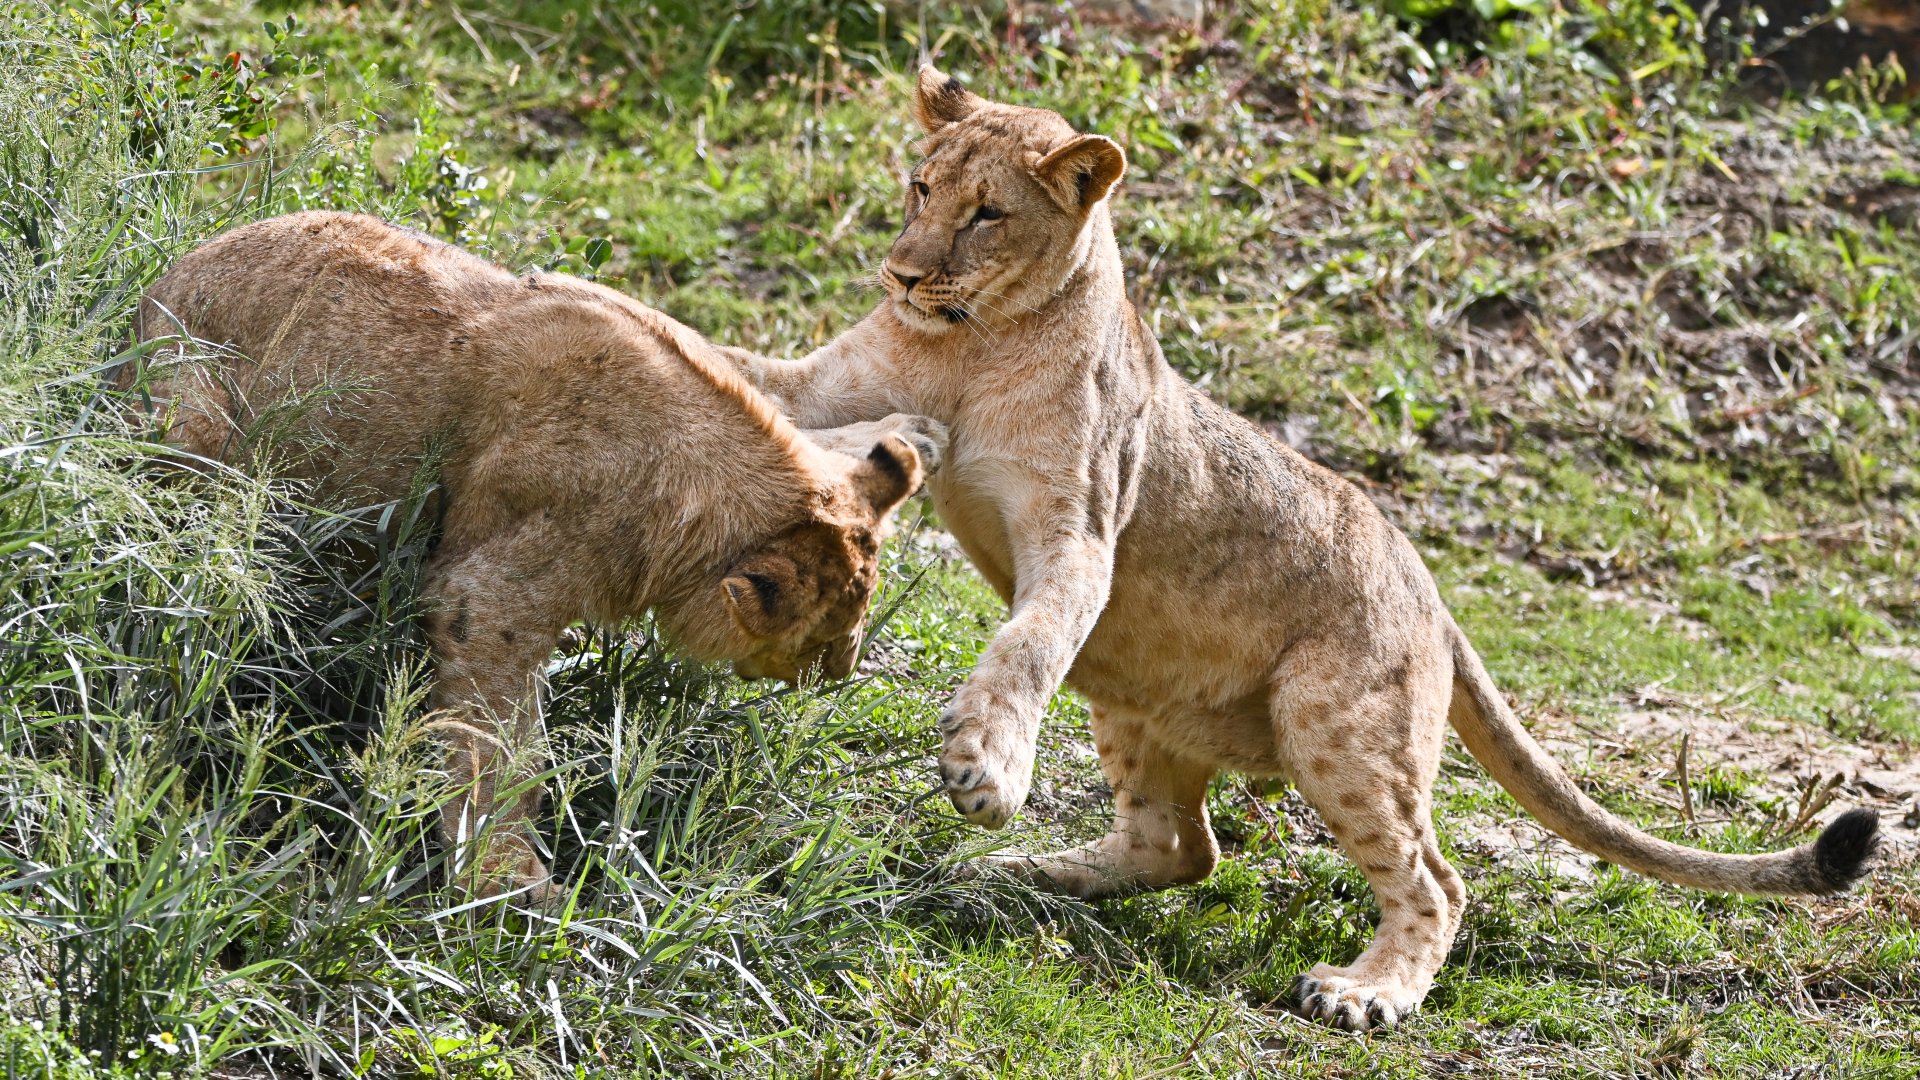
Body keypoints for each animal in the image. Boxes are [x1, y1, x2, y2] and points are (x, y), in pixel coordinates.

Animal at [129, 211, 944, 900]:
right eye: (825, 640)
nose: (838, 673)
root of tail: (152, 292)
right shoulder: (485, 591)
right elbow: (502, 737)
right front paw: (507, 877)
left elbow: (786, 388)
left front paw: (913, 432)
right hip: (195, 426)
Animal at [722, 69, 1881, 1028]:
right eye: (919, 188)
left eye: (987, 215)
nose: (900, 273)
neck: (967, 341)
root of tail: (1434, 596)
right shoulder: (824, 390)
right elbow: (736, 369)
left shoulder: (1079, 532)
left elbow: (1028, 645)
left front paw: (985, 768)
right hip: (1140, 698)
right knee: (1181, 845)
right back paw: (1022, 874)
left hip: (1336, 723)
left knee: (1432, 881)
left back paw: (1365, 993)